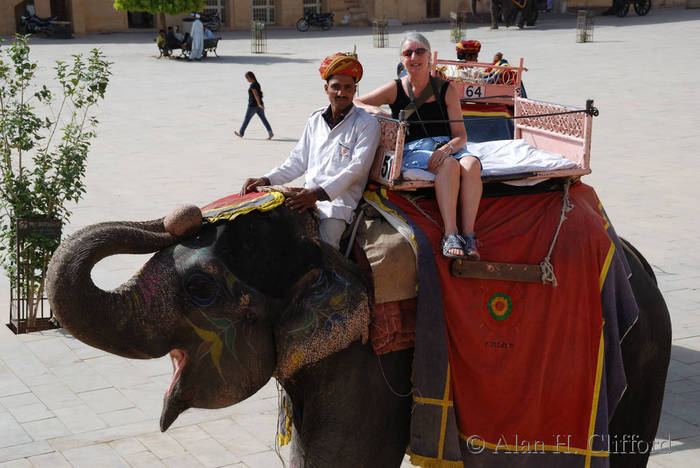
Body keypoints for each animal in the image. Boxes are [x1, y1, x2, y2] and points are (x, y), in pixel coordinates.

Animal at [46, 201, 668, 468]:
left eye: (200, 288)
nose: (184, 213)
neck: (324, 250)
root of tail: (637, 259)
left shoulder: (368, 365)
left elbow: (340, 458)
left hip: (639, 358)